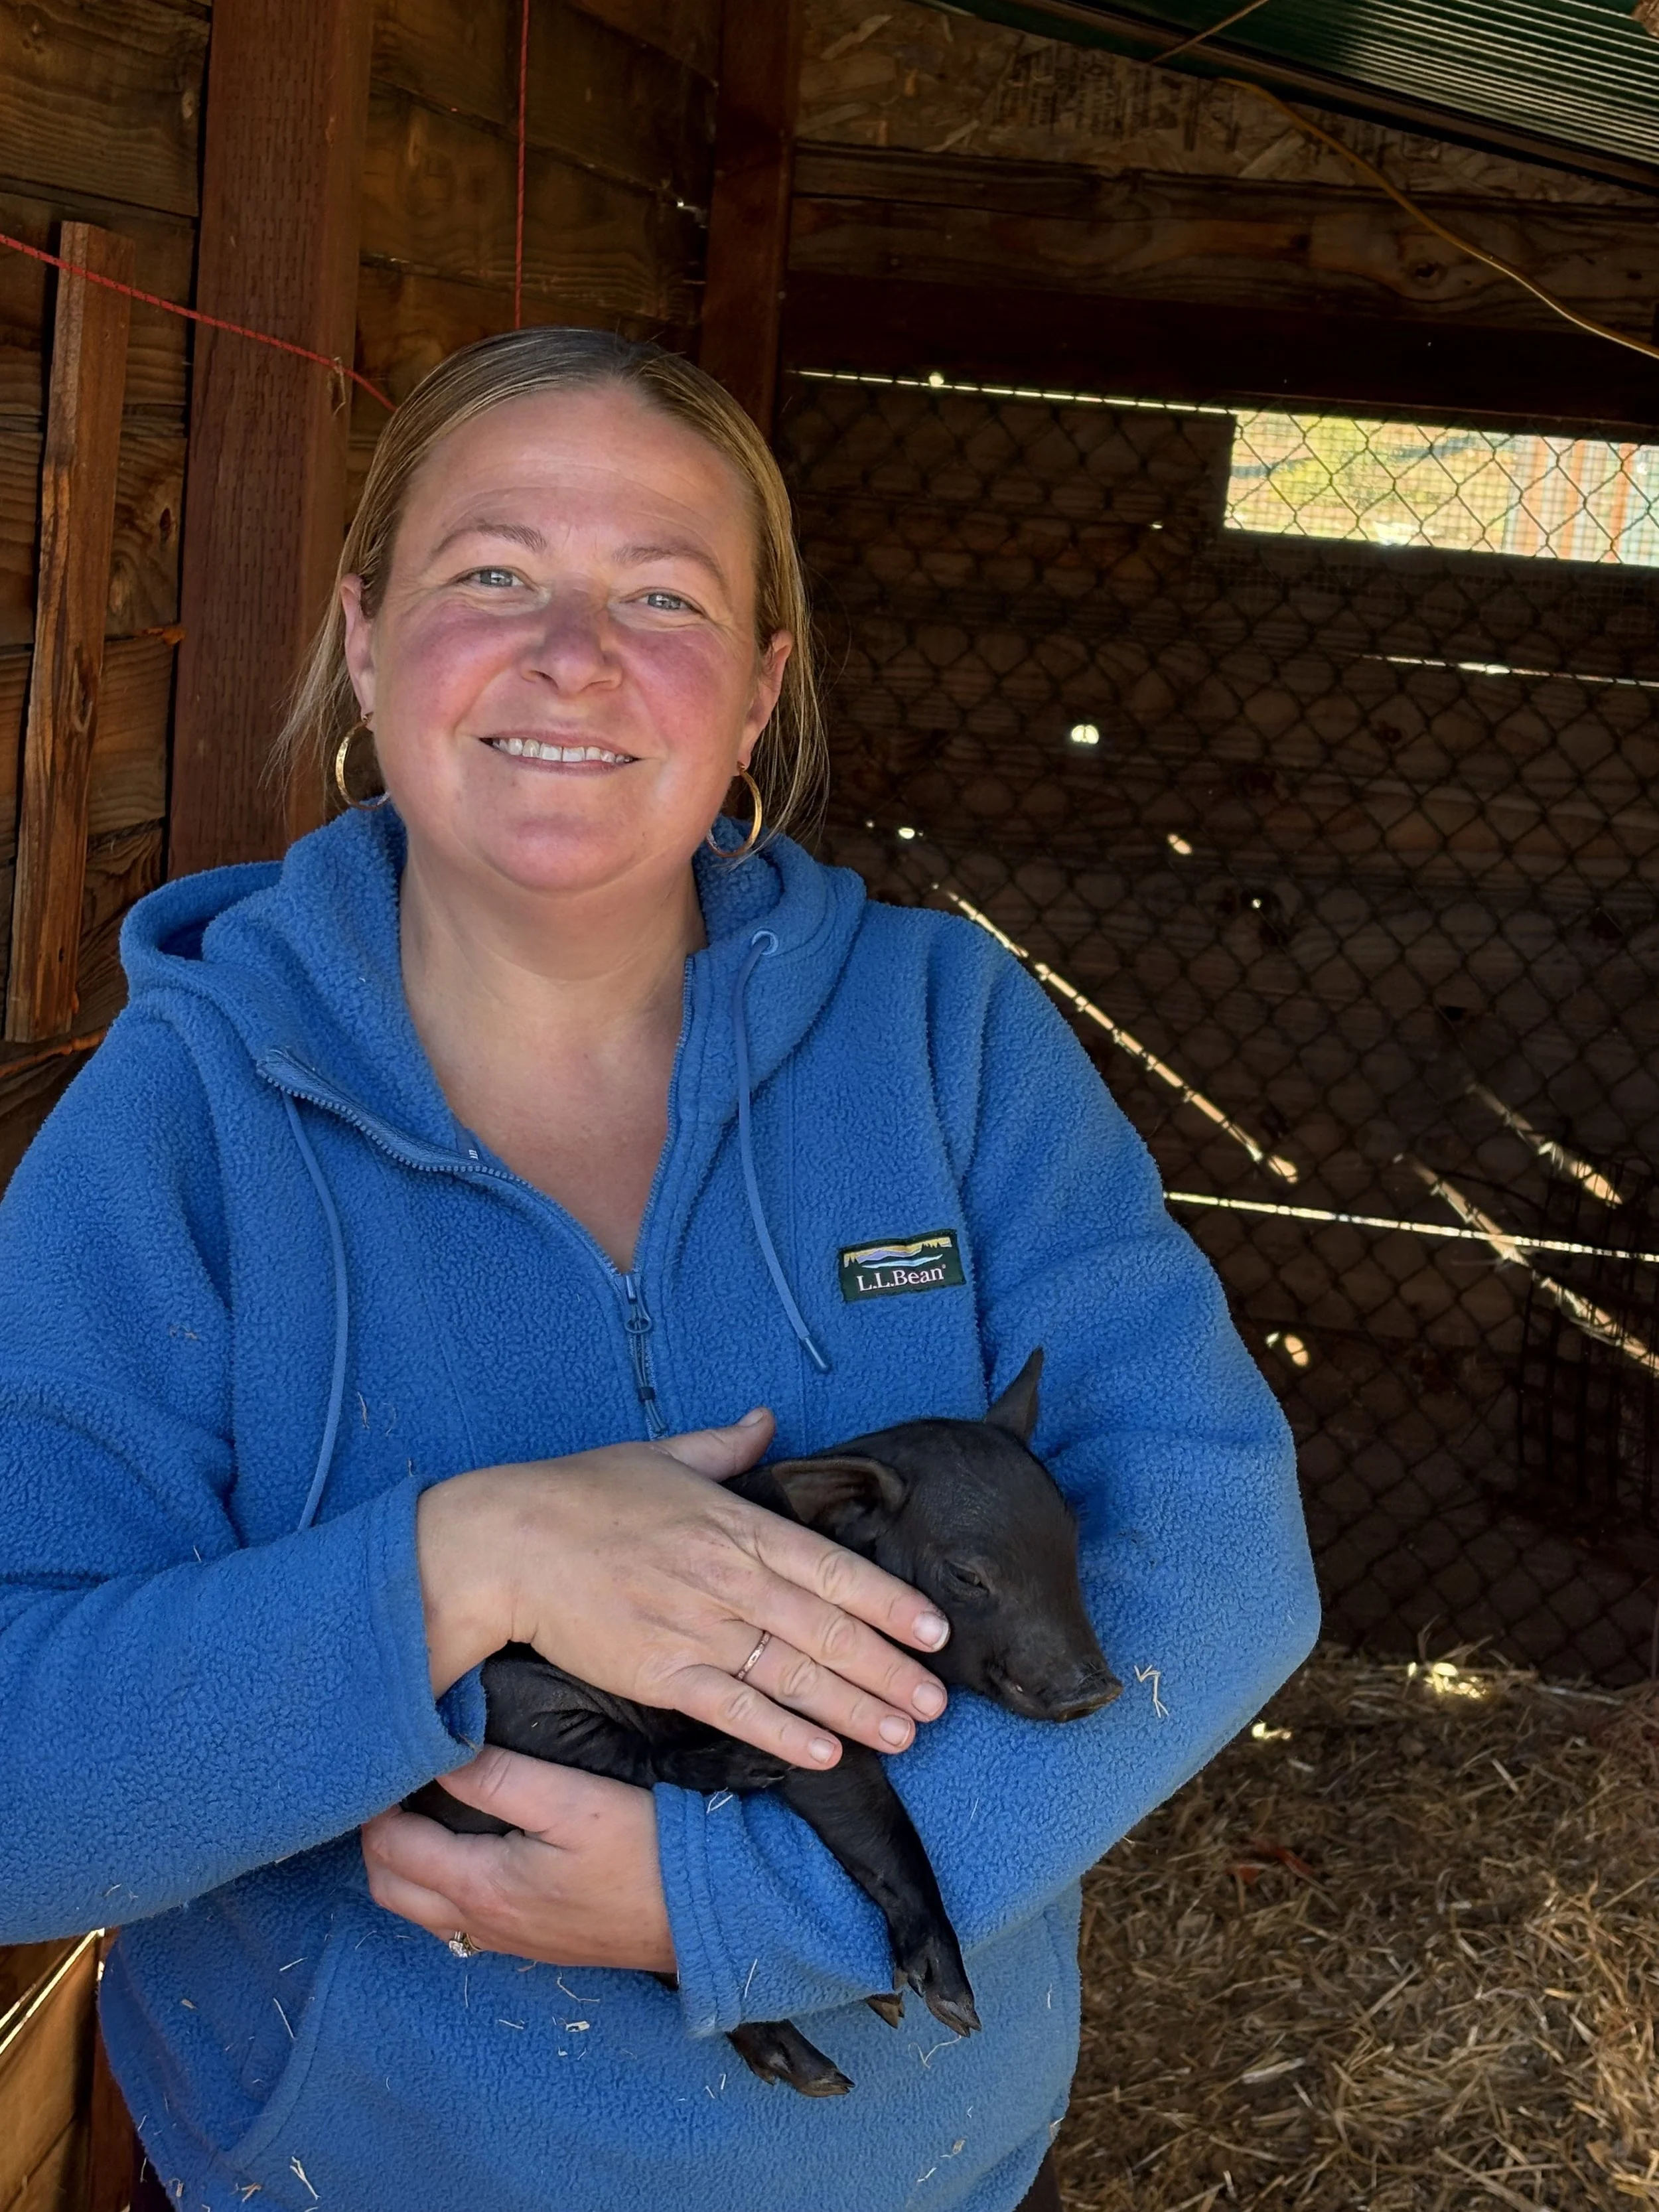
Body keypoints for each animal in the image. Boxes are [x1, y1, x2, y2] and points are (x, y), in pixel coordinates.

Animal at [405, 1349, 1121, 2096]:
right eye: (968, 1576)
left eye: (1070, 1537)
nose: (1097, 1688)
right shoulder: (802, 1711)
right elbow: (879, 1825)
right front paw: (956, 2007)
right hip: (519, 1699)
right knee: (633, 1760)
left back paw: (832, 2056)